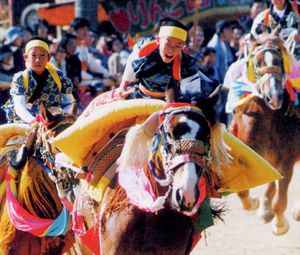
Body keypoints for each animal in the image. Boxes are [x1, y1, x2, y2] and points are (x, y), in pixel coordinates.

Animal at [230, 35, 300, 235]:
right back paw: (264, 209)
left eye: (279, 61)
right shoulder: (246, 155)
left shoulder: (287, 160)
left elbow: (280, 201)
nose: (274, 97)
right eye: (257, 63)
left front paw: (280, 225)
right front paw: (254, 204)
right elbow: (241, 191)